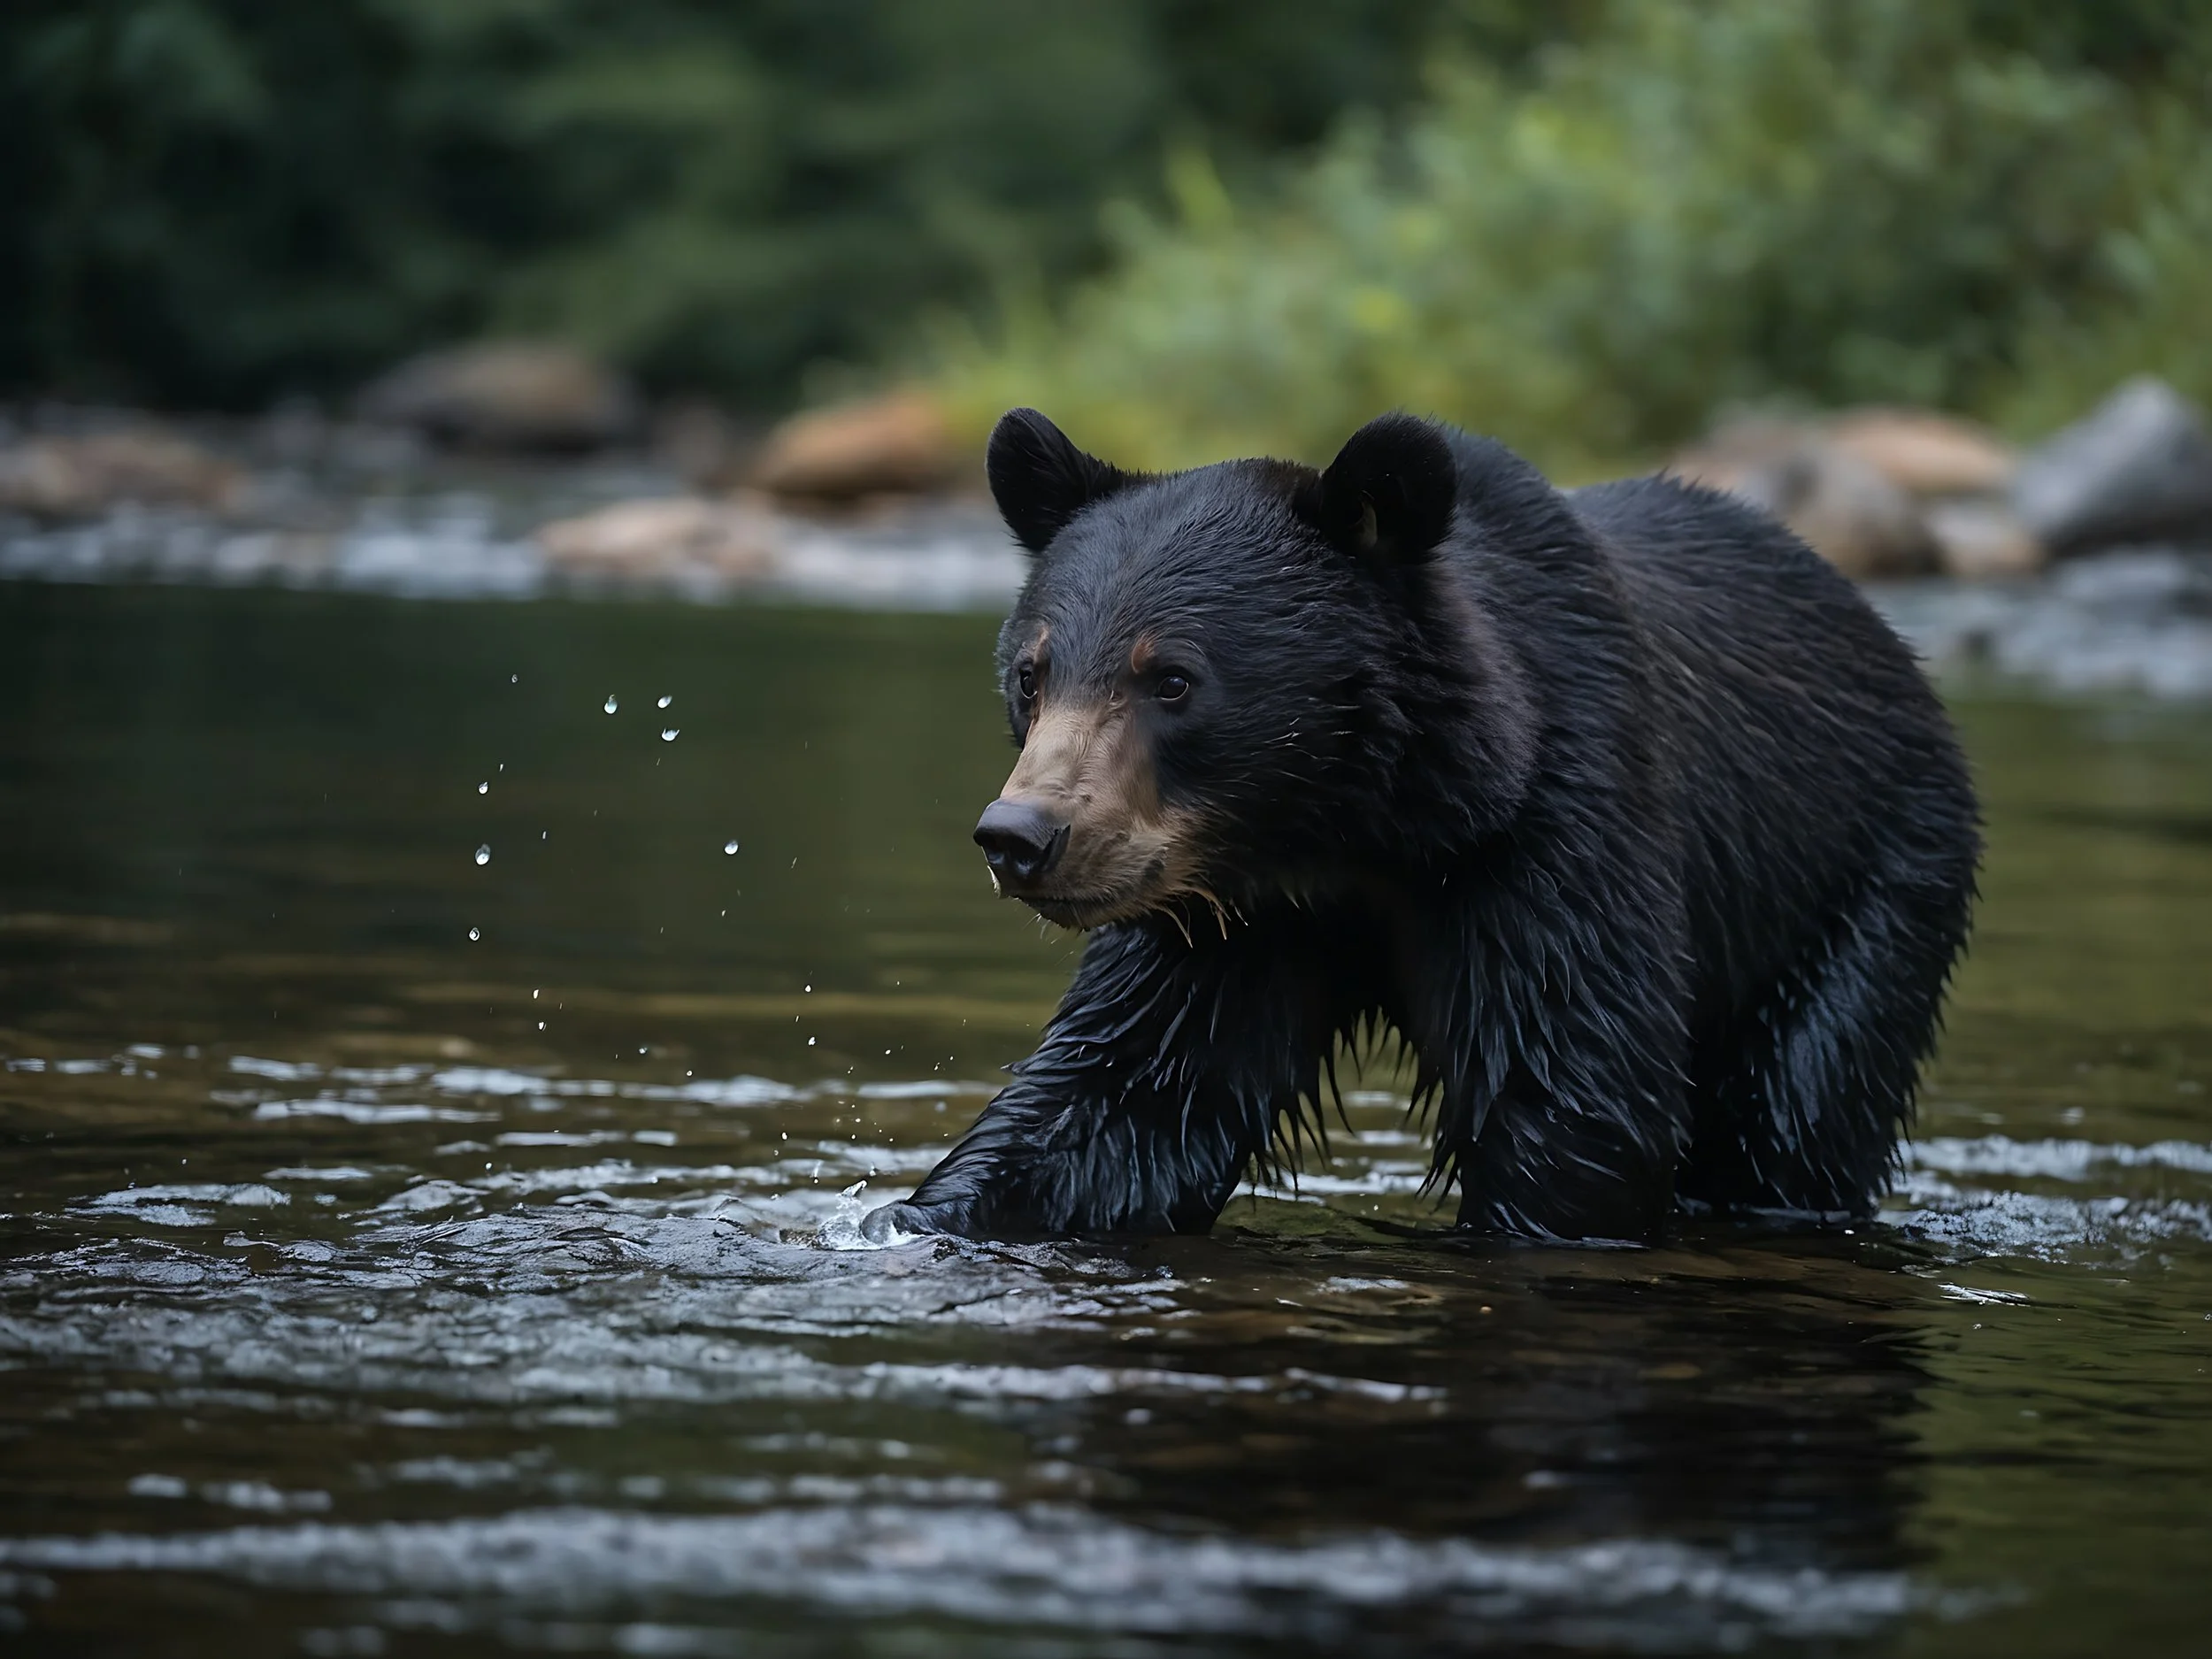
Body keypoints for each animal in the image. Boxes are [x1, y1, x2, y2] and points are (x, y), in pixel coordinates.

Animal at [862, 408, 1979, 1245]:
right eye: (1031, 672)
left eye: (1170, 677)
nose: (1021, 835)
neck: (1355, 827)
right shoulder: (1229, 918)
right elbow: (1126, 1095)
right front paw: (915, 1218)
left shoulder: (1551, 835)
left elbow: (1574, 1085)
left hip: (1866, 876)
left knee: (1795, 1108)